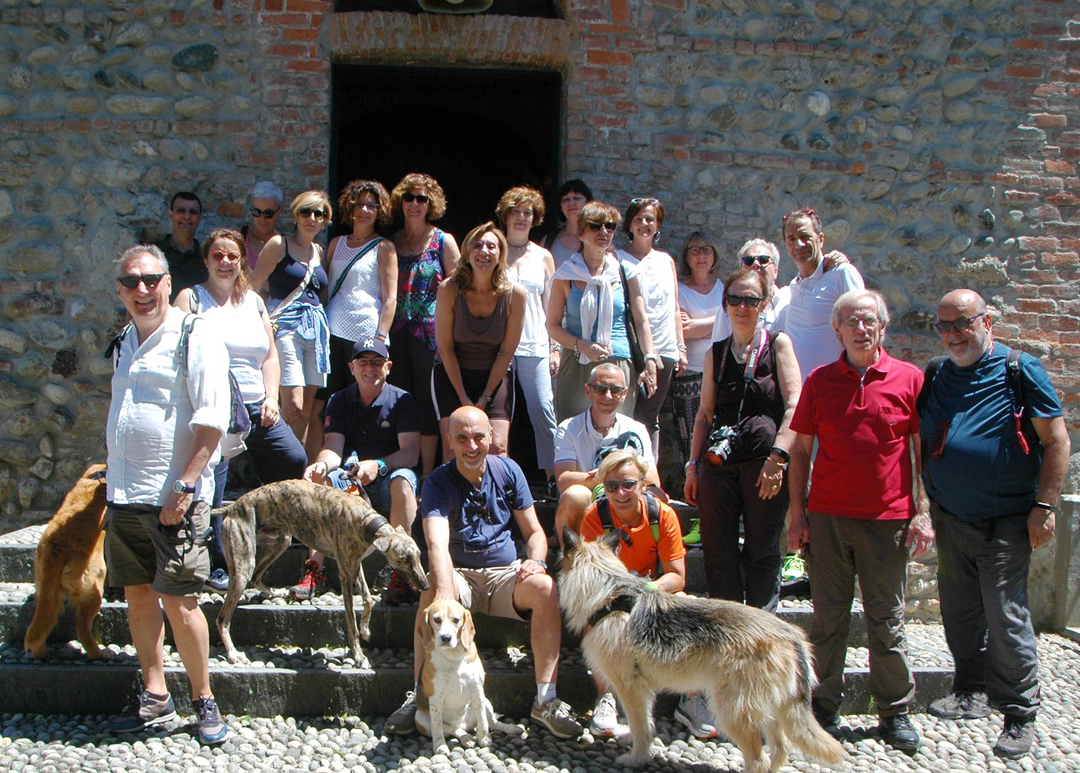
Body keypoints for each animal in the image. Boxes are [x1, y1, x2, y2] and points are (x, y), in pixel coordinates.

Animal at [24, 462, 109, 660]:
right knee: (82, 628)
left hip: (47, 588)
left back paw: (41, 652)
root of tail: (57, 548)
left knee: (43, 622)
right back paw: (99, 653)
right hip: (94, 587)